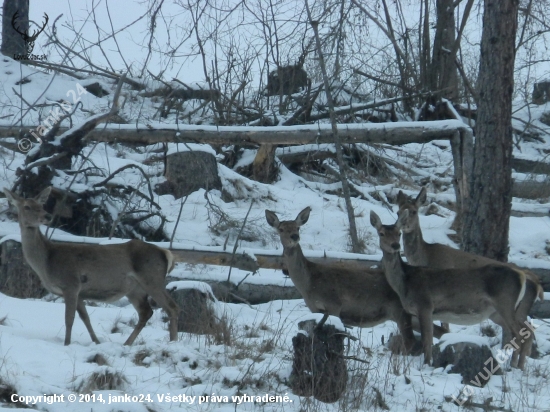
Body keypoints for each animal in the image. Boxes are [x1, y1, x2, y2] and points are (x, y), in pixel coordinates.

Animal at [4, 188, 181, 346]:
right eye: (27, 206)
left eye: (41, 205)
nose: (47, 216)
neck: (47, 262)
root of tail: (166, 253)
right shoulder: (79, 292)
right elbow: (85, 318)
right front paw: (96, 342)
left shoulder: (71, 284)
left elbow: (69, 319)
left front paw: (67, 344)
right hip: (135, 289)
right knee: (146, 312)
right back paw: (127, 343)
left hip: (152, 278)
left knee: (171, 307)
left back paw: (173, 342)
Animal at [266, 208, 442, 356]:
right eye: (281, 229)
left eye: (297, 228)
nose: (294, 237)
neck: (309, 284)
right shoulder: (314, 308)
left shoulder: (334, 304)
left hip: (401, 311)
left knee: (414, 340)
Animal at [370, 211, 536, 368]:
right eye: (381, 233)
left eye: (399, 233)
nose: (395, 246)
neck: (405, 283)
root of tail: (522, 276)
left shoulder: (425, 306)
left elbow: (427, 340)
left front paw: (427, 364)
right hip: (496, 312)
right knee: (527, 332)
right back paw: (519, 366)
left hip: (505, 304)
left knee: (520, 334)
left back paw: (512, 367)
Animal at [398, 187, 544, 364]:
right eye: (398, 211)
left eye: (413, 211)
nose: (403, 224)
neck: (425, 256)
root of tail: (537, 284)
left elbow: (444, 326)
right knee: (526, 332)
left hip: (516, 309)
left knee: (523, 333)